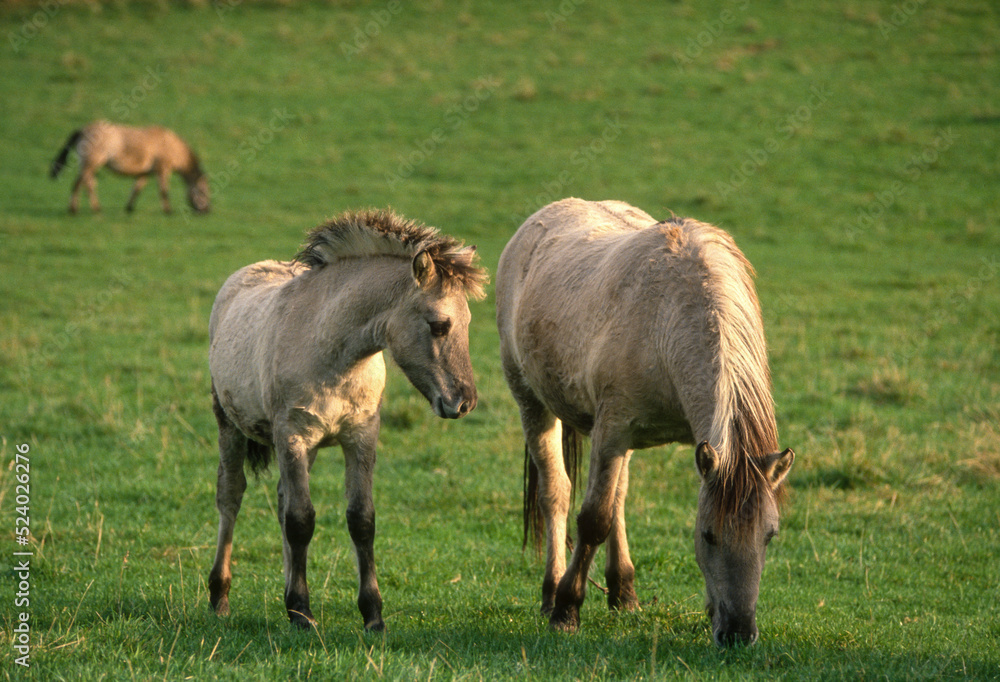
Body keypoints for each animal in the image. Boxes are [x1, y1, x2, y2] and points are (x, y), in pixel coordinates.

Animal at [50, 120, 210, 215]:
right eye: (203, 192)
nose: (207, 210)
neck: (170, 144)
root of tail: (83, 130)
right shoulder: (163, 170)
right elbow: (164, 190)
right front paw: (168, 211)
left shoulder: (144, 173)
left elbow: (137, 189)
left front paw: (129, 208)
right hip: (91, 163)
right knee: (82, 183)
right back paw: (82, 209)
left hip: (89, 166)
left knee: (86, 183)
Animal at [207, 209, 487, 631]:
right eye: (439, 325)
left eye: (468, 323)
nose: (464, 402)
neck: (329, 350)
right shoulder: (292, 435)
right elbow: (301, 520)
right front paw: (303, 613)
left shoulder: (361, 437)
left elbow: (360, 520)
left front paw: (372, 615)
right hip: (230, 425)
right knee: (231, 495)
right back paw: (220, 597)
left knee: (281, 499)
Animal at [496, 198, 794, 646]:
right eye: (708, 535)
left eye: (769, 536)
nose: (739, 633)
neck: (667, 319)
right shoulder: (611, 430)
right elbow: (593, 519)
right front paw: (567, 609)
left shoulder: (654, 438)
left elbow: (611, 507)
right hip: (532, 403)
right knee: (557, 494)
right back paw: (551, 593)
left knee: (617, 497)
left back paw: (623, 591)